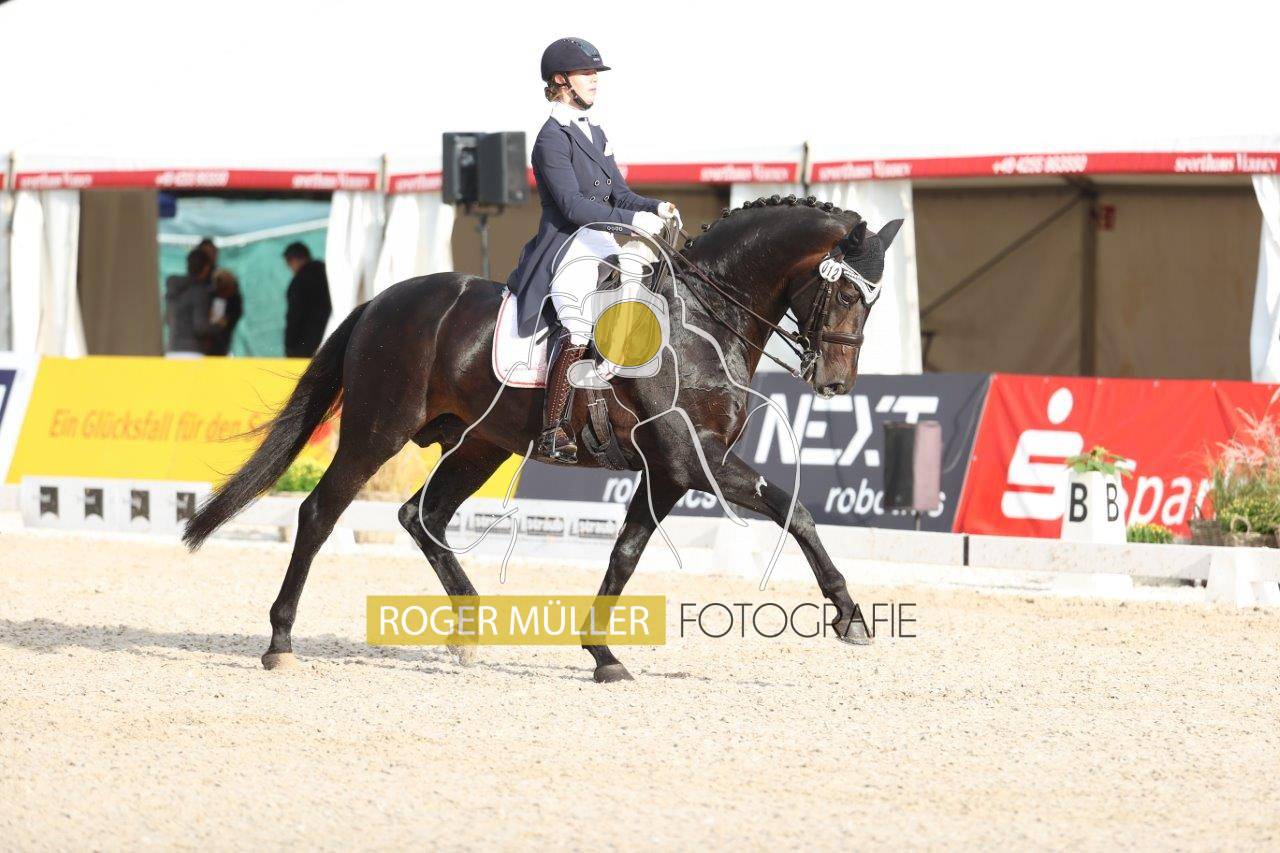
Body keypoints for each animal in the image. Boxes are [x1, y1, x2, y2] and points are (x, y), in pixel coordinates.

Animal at [183, 193, 904, 683]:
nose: (835, 382)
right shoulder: (695, 463)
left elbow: (625, 555)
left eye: (873, 301)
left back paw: (470, 631)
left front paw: (602, 653)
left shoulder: (668, 473)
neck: (699, 321)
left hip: (479, 446)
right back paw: (280, 641)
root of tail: (382, 301)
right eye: (846, 295)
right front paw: (850, 616)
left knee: (421, 515)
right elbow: (795, 508)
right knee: (318, 513)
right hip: (375, 433)